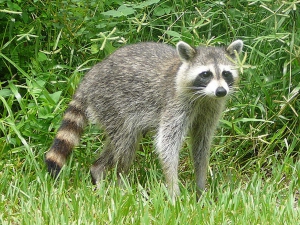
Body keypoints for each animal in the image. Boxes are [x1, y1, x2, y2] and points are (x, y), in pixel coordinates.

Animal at [45, 39, 244, 198]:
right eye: (206, 74)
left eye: (226, 73)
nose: (221, 91)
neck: (204, 96)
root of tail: (91, 74)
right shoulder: (174, 104)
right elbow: (167, 145)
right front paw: (174, 190)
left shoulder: (211, 109)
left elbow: (201, 146)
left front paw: (201, 189)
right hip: (111, 104)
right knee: (126, 144)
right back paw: (120, 183)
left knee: (119, 144)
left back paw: (98, 171)